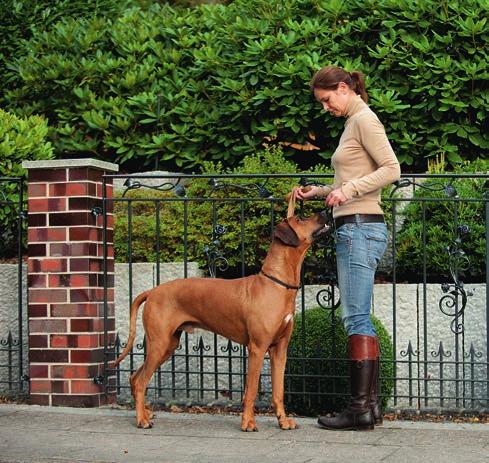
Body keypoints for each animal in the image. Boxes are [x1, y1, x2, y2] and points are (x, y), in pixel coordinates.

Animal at [114, 209, 330, 432]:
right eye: (302, 218)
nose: (325, 211)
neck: (276, 284)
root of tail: (152, 291)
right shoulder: (257, 348)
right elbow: (251, 390)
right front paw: (248, 422)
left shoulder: (280, 349)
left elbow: (279, 390)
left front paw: (283, 420)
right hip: (160, 343)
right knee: (140, 381)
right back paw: (142, 420)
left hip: (168, 345)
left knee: (134, 377)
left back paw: (145, 412)